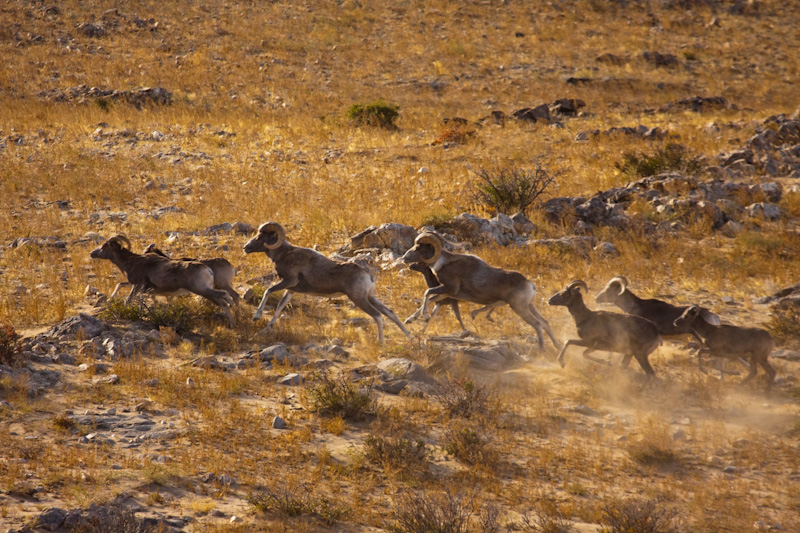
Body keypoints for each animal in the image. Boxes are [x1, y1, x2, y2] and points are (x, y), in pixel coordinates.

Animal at [92, 236, 234, 324]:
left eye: (104, 247)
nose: (92, 253)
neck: (130, 262)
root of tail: (207, 269)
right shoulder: (138, 287)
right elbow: (120, 285)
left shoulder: (137, 285)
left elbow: (128, 300)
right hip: (206, 292)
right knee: (223, 302)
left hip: (202, 290)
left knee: (226, 296)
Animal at [241, 221, 410, 342]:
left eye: (260, 237)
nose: (245, 248)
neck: (285, 254)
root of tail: (368, 274)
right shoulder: (291, 290)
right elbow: (279, 308)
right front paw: (266, 329)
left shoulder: (289, 281)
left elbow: (268, 291)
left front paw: (256, 317)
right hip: (370, 297)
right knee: (390, 312)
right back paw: (410, 337)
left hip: (359, 299)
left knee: (377, 315)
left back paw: (381, 343)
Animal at [398, 232, 560, 350]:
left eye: (417, 247)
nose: (404, 258)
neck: (442, 263)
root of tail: (530, 285)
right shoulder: (447, 293)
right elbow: (430, 298)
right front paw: (410, 320)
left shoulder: (449, 289)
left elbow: (427, 293)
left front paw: (424, 317)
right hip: (530, 306)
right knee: (545, 322)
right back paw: (558, 348)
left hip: (519, 308)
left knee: (537, 324)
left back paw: (542, 350)